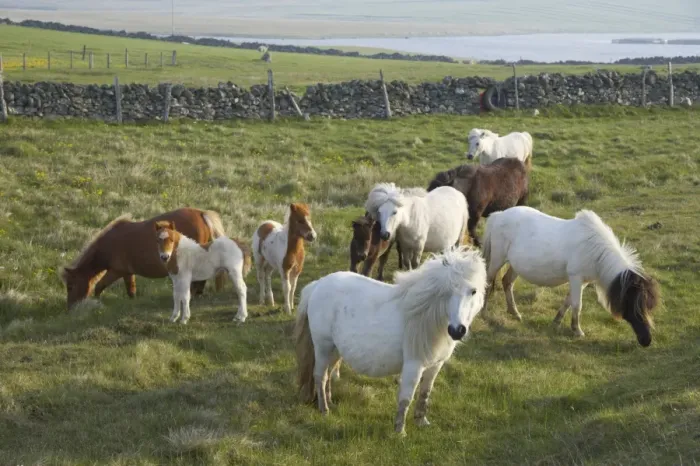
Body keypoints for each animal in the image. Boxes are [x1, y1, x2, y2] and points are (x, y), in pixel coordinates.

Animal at [60, 208, 226, 309]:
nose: (70, 308)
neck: (109, 244)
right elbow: (131, 291)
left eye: (70, 286)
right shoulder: (127, 273)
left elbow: (99, 286)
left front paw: (96, 302)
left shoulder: (116, 271)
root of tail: (201, 213)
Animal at [295, 246, 487, 435]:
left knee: (328, 374)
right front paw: (400, 432)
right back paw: (324, 409)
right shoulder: (413, 365)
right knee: (320, 376)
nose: (457, 330)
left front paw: (421, 421)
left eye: (473, 291)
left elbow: (425, 392)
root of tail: (317, 285)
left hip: (334, 349)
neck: (425, 318)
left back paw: (331, 403)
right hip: (322, 346)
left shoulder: (435, 365)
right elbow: (406, 398)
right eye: (447, 292)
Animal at [481, 206, 660, 347]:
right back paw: (483, 312)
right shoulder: (576, 277)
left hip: (515, 265)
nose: (647, 340)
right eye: (633, 304)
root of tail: (498, 215)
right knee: (488, 281)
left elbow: (568, 301)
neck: (594, 249)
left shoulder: (583, 282)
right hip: (497, 259)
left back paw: (515, 313)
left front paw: (557, 322)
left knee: (507, 282)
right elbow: (577, 304)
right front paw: (577, 330)